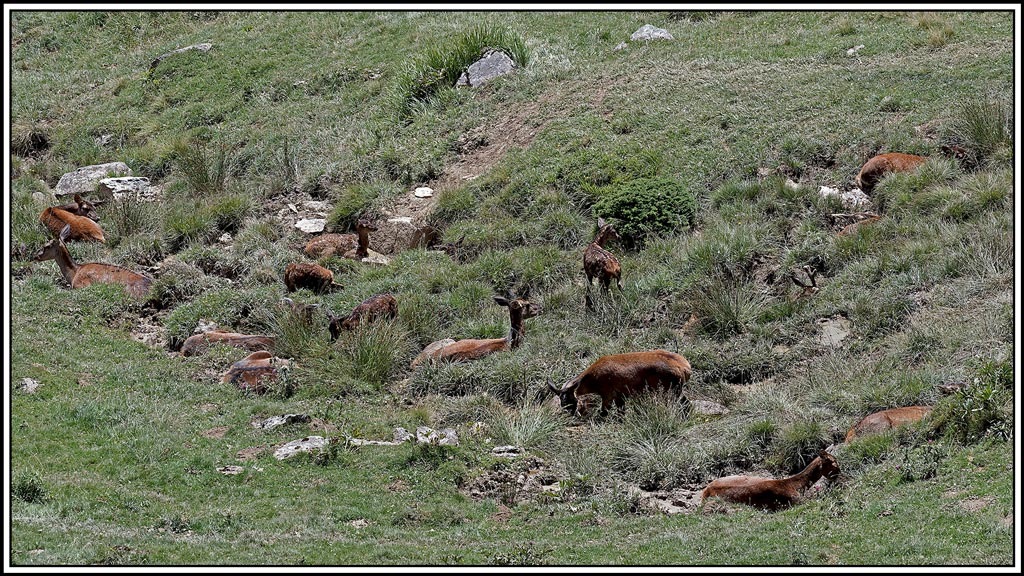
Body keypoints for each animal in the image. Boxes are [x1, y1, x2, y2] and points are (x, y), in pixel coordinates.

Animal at [548, 349, 692, 418]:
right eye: (562, 403)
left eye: (571, 401)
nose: (571, 414)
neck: (593, 375)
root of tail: (684, 367)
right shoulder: (619, 397)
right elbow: (621, 412)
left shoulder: (608, 395)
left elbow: (604, 412)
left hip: (673, 390)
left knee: (686, 404)